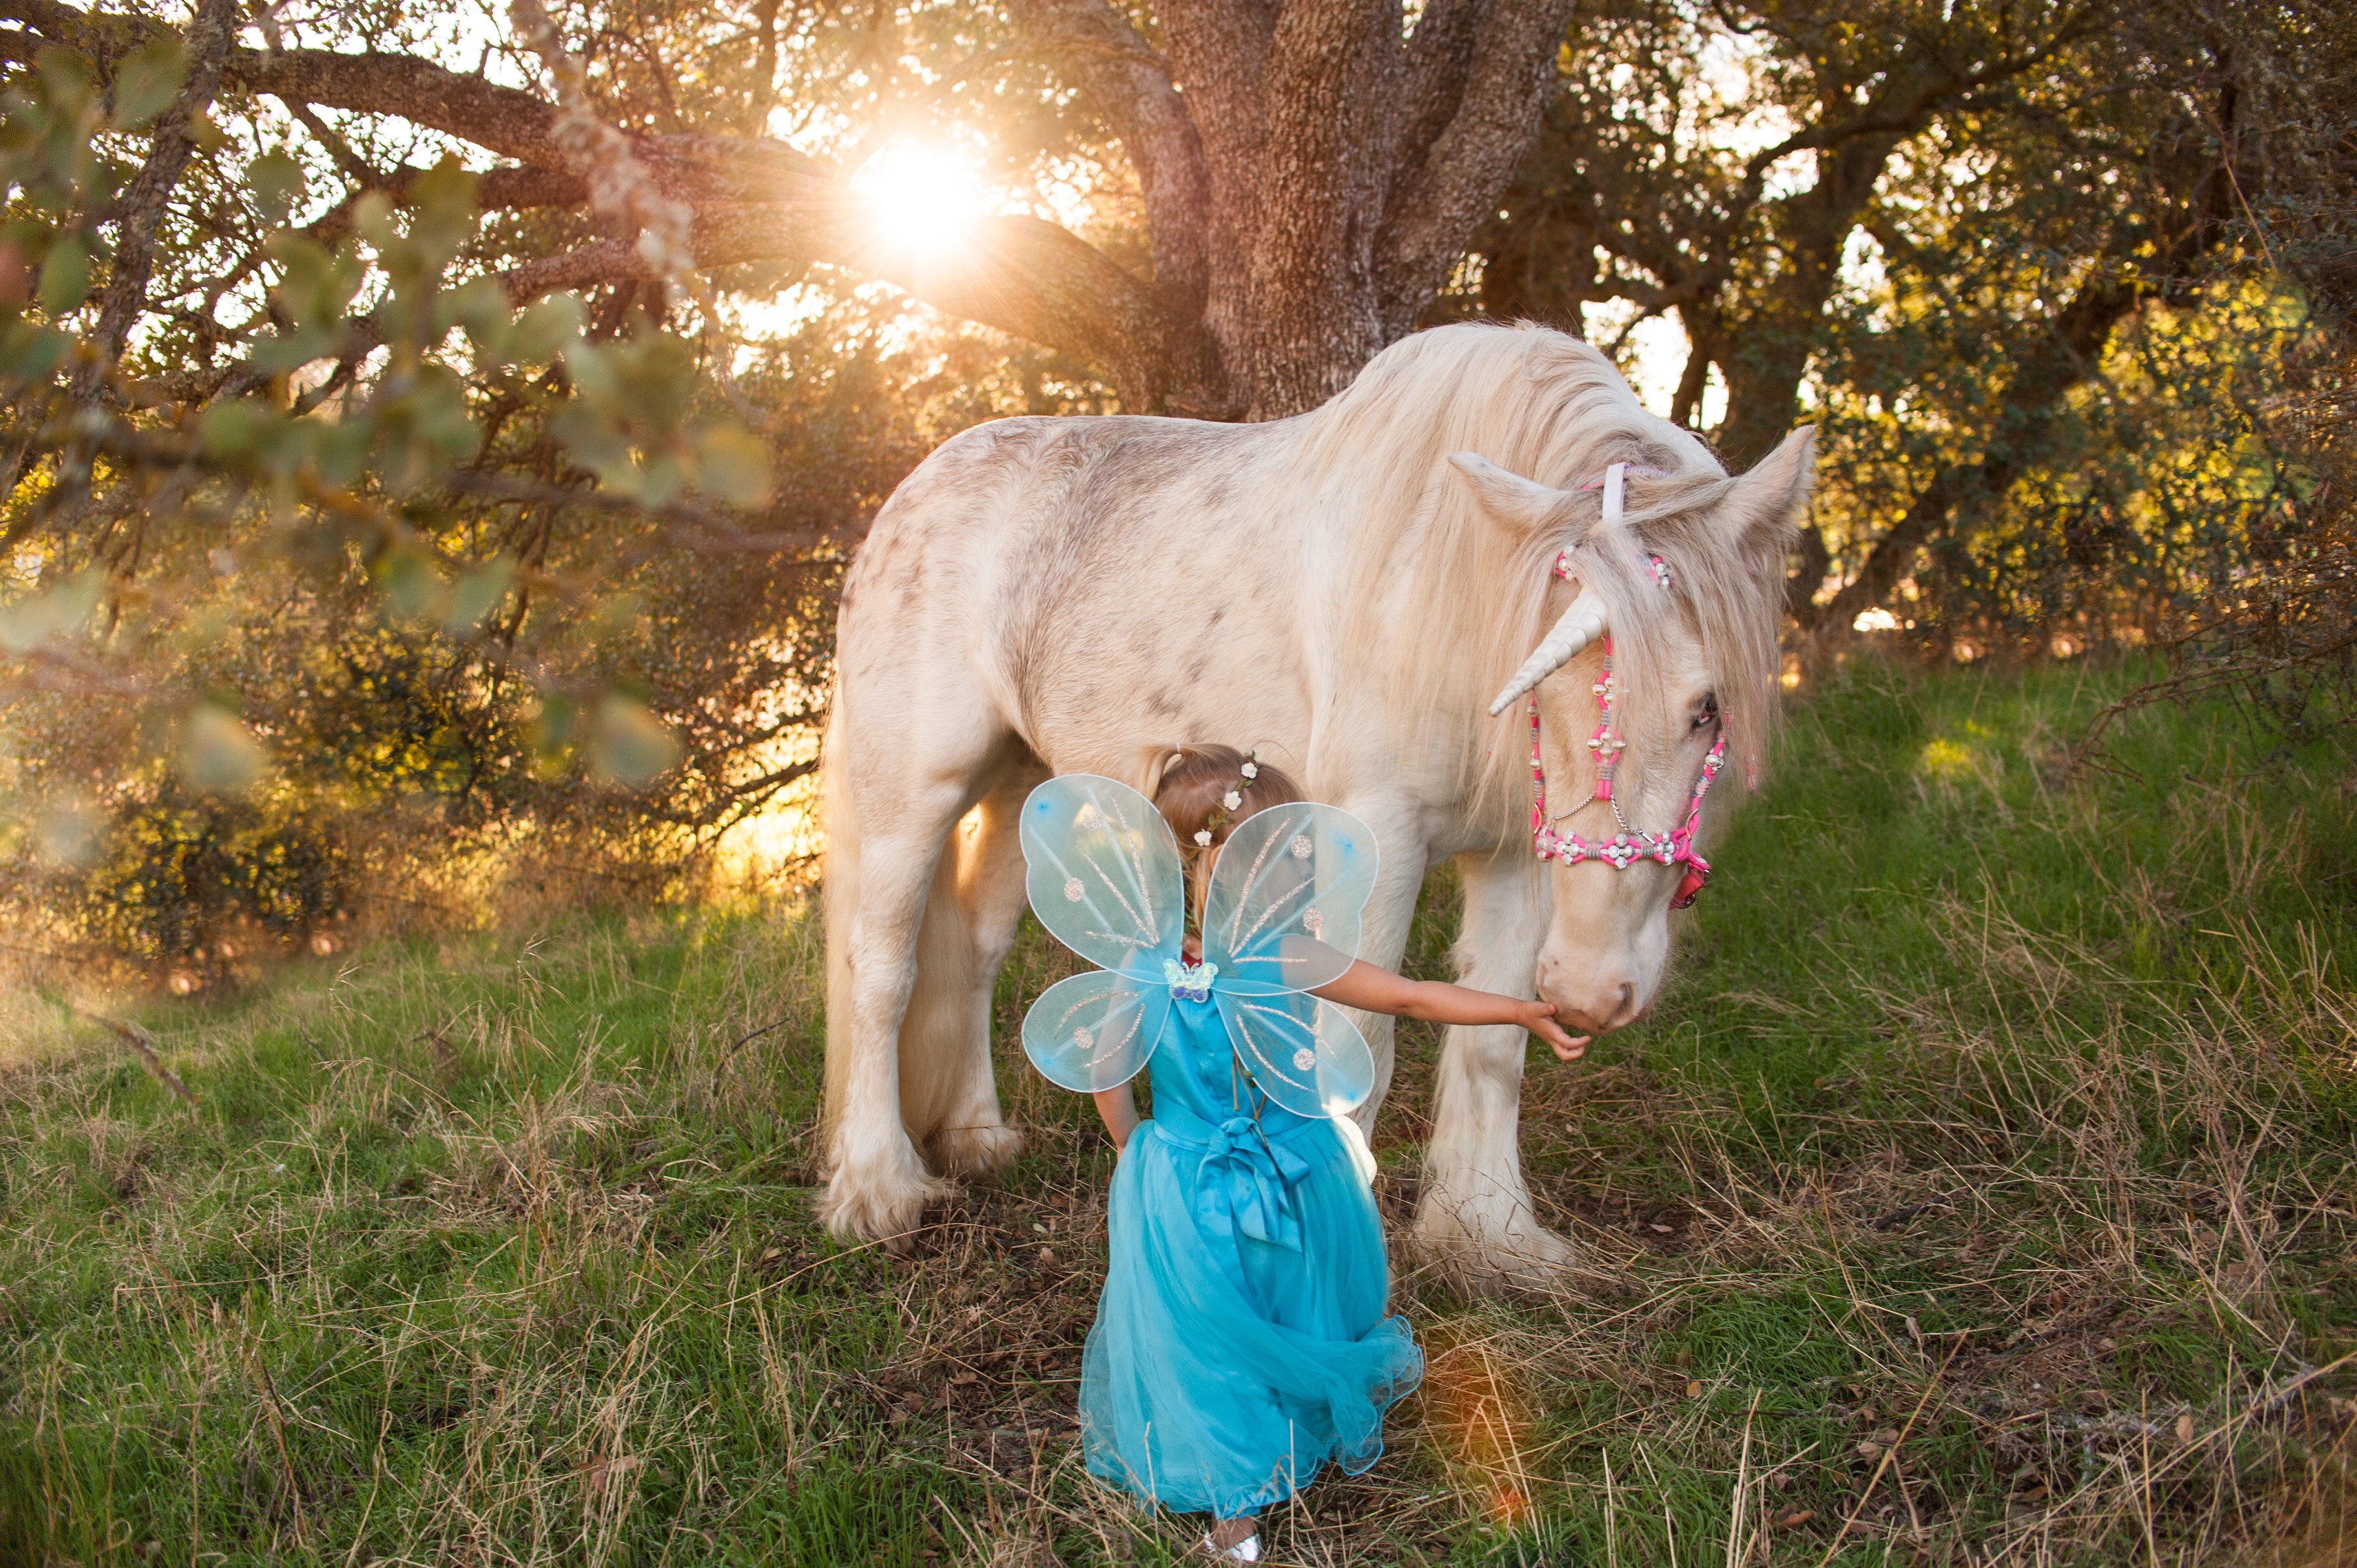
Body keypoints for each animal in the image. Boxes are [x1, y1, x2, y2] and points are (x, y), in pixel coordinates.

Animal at [811, 320, 1800, 1283]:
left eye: (1708, 707)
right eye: (1540, 691)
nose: (1594, 991)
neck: (1445, 577)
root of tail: (910, 493)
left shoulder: (1514, 854)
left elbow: (1493, 1041)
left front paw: (1491, 1233)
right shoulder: (1381, 834)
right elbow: (1361, 1041)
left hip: (1025, 790)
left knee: (974, 955)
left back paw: (976, 1135)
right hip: (913, 797)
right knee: (884, 972)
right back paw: (878, 1188)